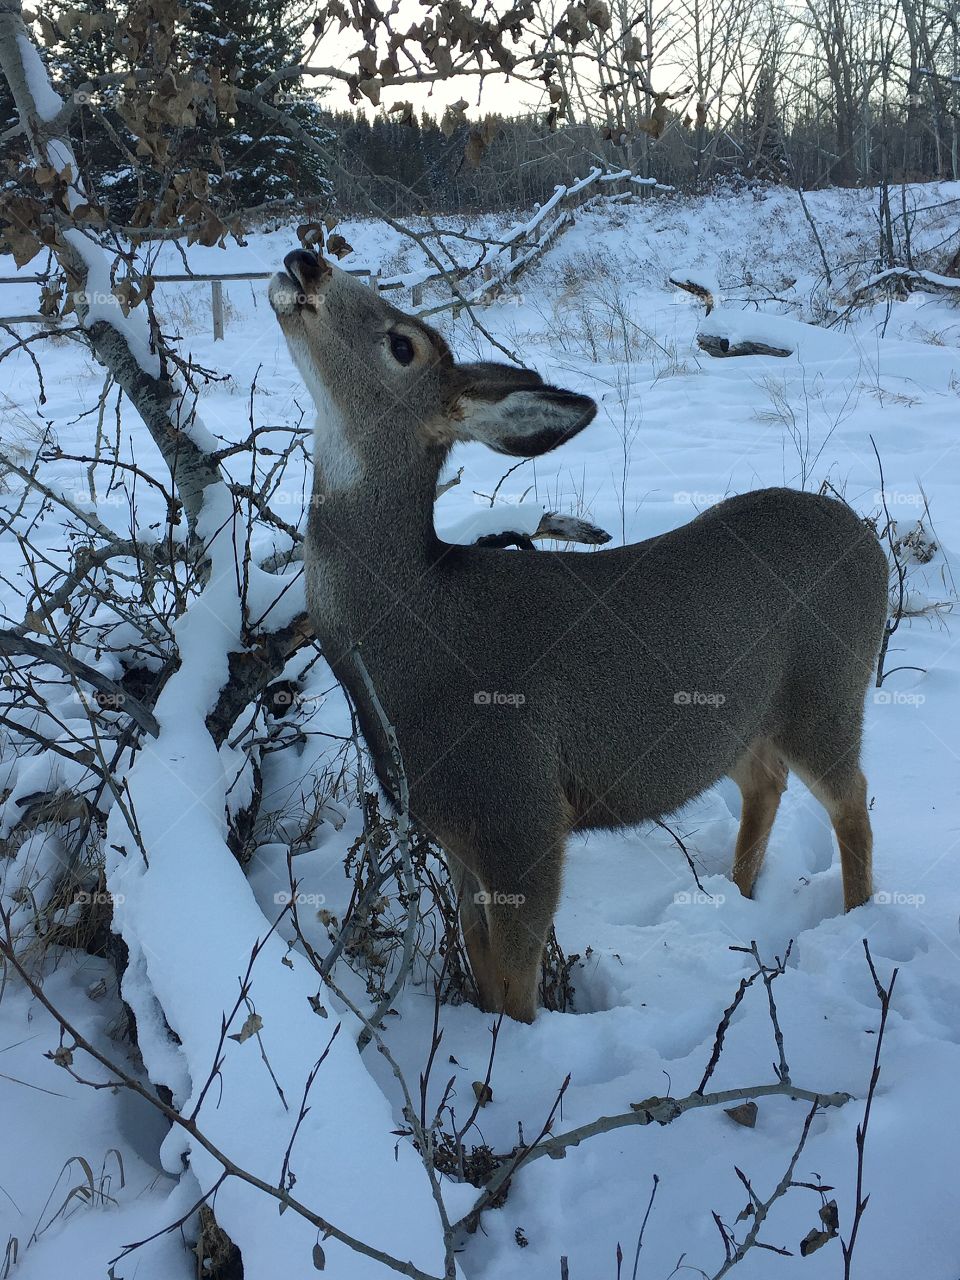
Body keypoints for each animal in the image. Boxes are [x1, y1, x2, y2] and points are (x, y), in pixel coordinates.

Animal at [269, 248, 889, 1024]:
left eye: (402, 345)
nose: (305, 261)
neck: (407, 645)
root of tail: (872, 542)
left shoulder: (522, 809)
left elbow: (516, 981)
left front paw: (520, 1045)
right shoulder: (457, 836)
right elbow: (479, 957)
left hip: (828, 688)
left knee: (852, 797)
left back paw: (857, 919)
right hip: (745, 717)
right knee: (765, 780)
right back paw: (740, 897)